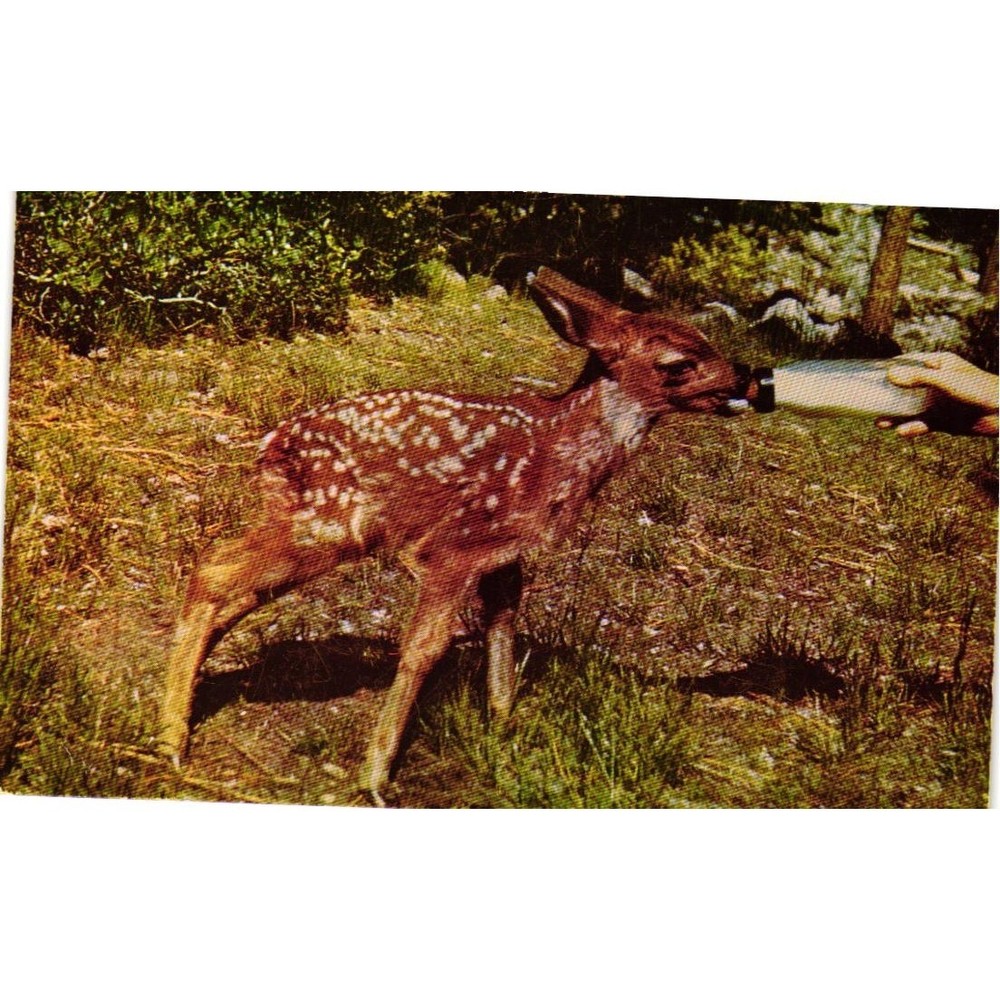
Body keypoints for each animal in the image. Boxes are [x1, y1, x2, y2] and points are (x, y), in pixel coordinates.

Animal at [159, 268, 743, 801]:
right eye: (679, 363)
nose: (743, 380)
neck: (560, 456)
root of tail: (269, 446)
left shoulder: (503, 553)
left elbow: (503, 626)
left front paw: (504, 726)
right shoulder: (453, 547)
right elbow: (425, 646)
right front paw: (375, 776)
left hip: (320, 531)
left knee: (240, 588)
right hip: (324, 521)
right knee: (214, 567)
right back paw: (170, 740)